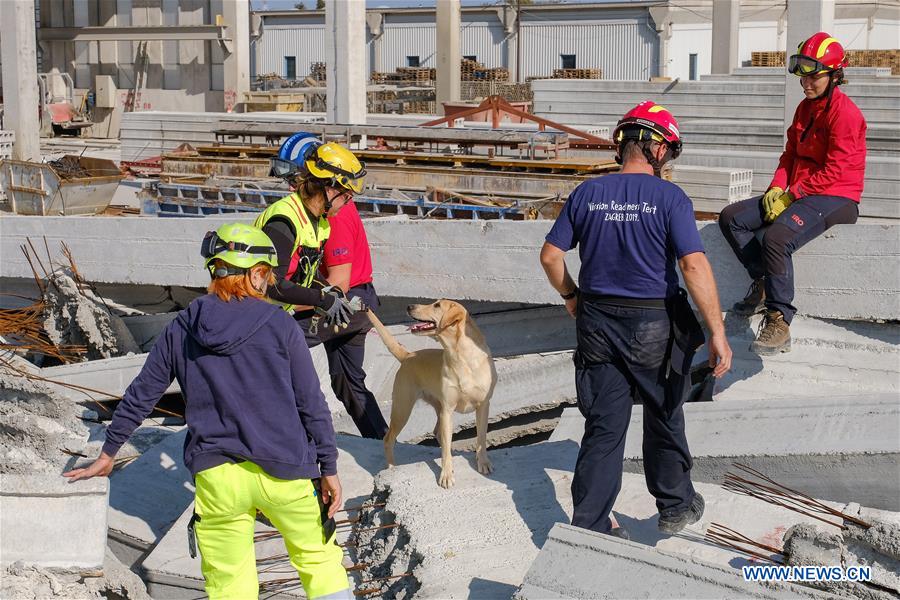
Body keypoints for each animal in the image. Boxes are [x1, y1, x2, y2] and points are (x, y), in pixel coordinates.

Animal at [366, 300, 496, 488]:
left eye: (437, 305)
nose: (409, 306)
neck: (460, 356)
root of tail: (408, 355)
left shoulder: (483, 406)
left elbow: (481, 439)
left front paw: (483, 462)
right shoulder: (448, 410)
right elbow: (446, 451)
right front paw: (446, 475)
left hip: (432, 409)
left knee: (438, 434)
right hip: (403, 410)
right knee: (388, 439)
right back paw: (391, 469)